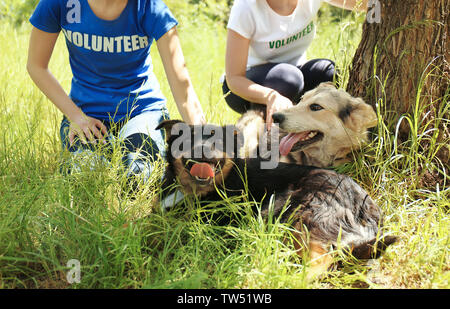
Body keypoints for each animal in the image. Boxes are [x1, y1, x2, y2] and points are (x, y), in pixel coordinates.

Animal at [156, 119, 396, 278]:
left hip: (292, 209)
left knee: (321, 259)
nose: (204, 152)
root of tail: (366, 209)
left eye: (219, 142)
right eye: (188, 139)